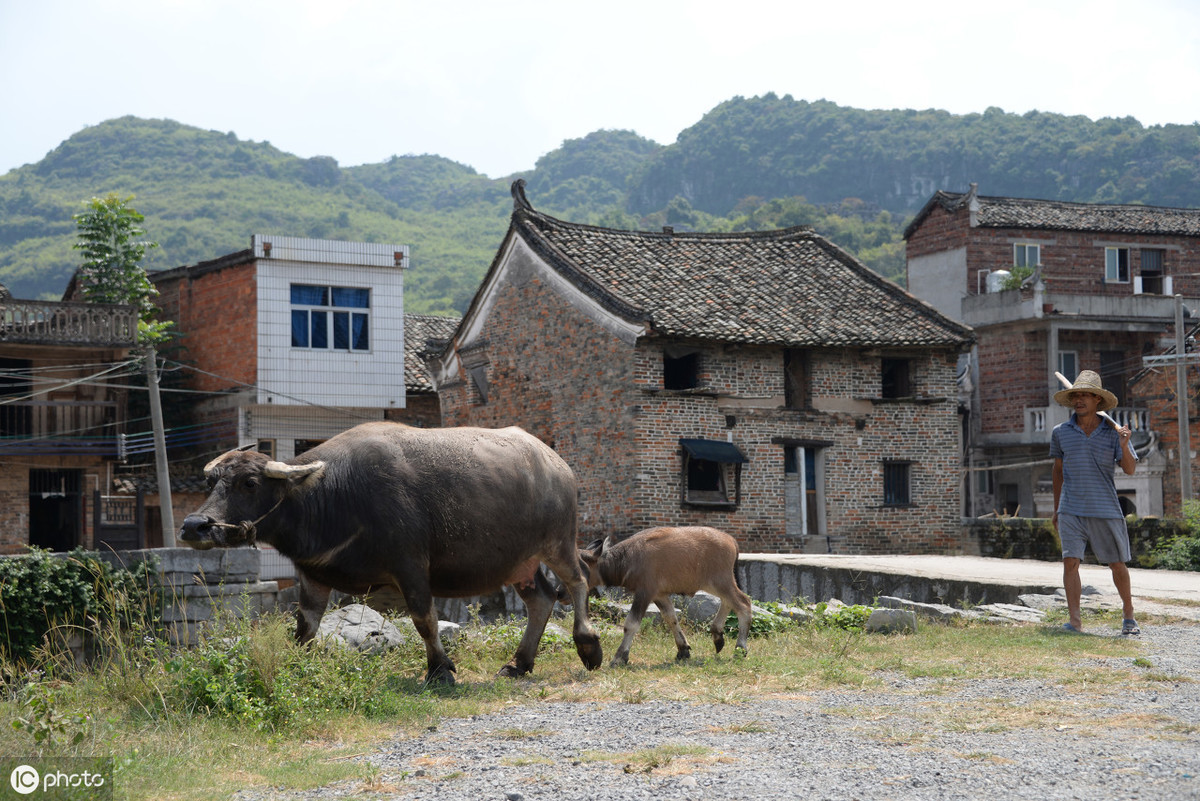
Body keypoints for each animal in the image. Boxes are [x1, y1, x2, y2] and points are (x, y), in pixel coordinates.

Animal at [180, 419, 600, 681]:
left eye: (249, 483)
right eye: (213, 482)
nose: (194, 526)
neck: (333, 495)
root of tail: (557, 465)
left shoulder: (410, 565)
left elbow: (424, 619)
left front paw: (439, 670)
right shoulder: (312, 576)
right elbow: (304, 627)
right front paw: (298, 667)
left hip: (559, 542)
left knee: (578, 582)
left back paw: (589, 646)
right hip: (520, 563)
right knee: (541, 599)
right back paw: (519, 663)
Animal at [573, 527, 744, 666]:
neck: (628, 558)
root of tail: (731, 540)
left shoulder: (644, 593)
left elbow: (631, 624)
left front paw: (620, 657)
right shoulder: (659, 595)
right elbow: (671, 618)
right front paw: (683, 650)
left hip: (719, 582)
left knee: (743, 604)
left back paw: (740, 648)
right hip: (719, 583)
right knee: (728, 602)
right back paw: (718, 636)